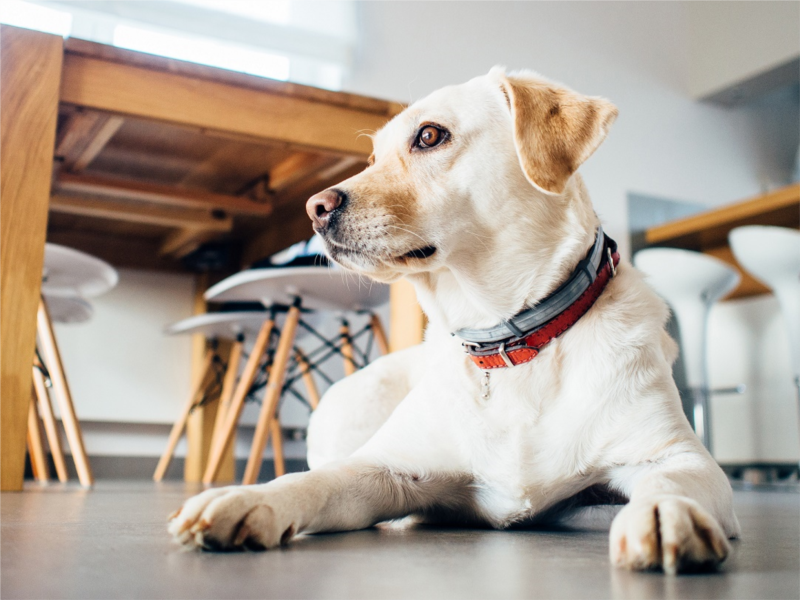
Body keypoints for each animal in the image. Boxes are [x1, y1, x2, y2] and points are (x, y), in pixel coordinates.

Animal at [169, 68, 736, 576]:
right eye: (372, 158)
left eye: (429, 135)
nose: (315, 208)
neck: (510, 342)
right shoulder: (379, 468)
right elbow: (314, 482)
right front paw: (245, 500)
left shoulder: (679, 457)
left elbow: (669, 482)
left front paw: (663, 513)